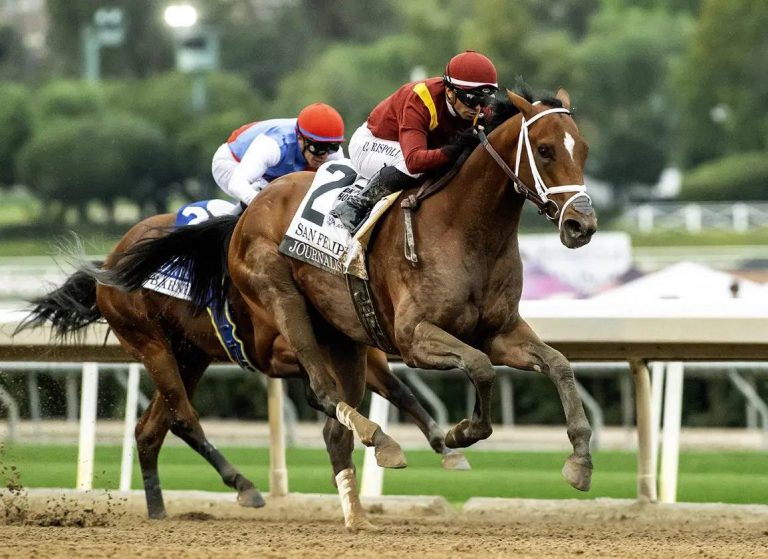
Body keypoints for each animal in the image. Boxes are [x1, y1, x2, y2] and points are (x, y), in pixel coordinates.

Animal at [18, 212, 468, 522]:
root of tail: (111, 261)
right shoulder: (278, 349)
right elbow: (327, 388)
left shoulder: (354, 350)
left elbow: (397, 389)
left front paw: (444, 445)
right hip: (150, 343)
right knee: (182, 417)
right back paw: (244, 486)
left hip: (191, 355)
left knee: (150, 429)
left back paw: (159, 509)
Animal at [89, 88, 598, 530]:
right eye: (545, 150)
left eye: (585, 151)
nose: (582, 224)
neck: (466, 229)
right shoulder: (414, 338)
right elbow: (479, 368)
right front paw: (461, 433)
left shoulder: (500, 332)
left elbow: (558, 365)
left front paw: (579, 460)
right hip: (223, 323)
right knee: (299, 397)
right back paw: (355, 450)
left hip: (276, 345)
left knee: (164, 428)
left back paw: (349, 515)